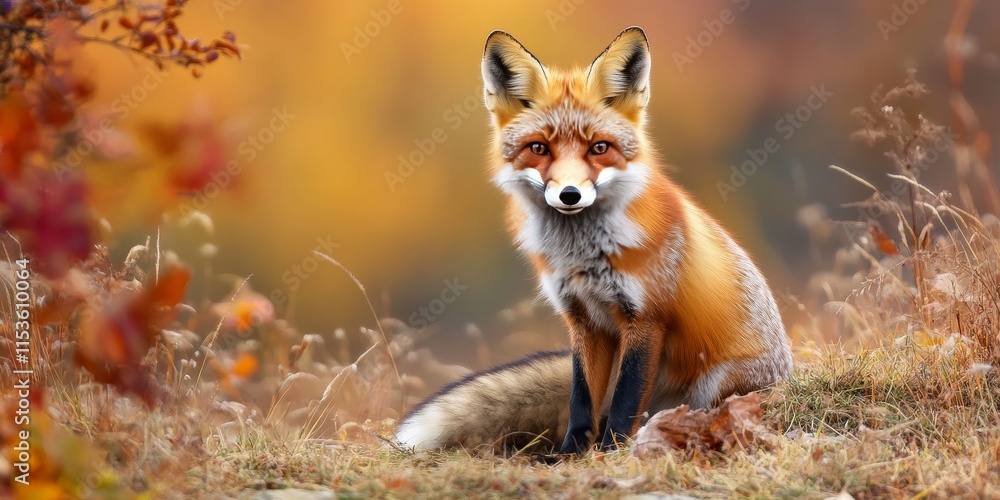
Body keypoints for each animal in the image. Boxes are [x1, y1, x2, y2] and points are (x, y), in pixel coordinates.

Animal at [395, 27, 792, 455]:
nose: (570, 195)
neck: (581, 257)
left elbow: (624, 400)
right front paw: (571, 454)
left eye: (599, 148)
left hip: (717, 383)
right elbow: (582, 398)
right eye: (539, 148)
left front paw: (611, 451)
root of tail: (788, 373)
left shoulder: (646, 320)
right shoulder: (582, 321)